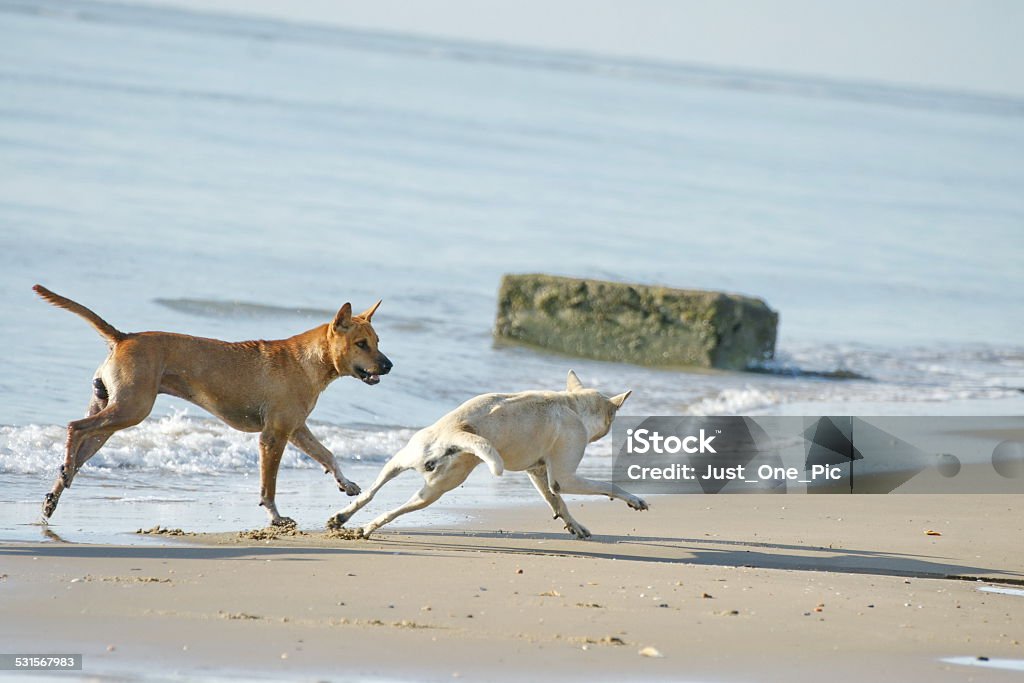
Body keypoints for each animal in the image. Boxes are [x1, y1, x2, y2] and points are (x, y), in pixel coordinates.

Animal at [32, 286, 391, 528]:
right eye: (361, 344)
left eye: (377, 342)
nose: (388, 365)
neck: (309, 360)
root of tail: (123, 337)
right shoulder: (273, 436)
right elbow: (269, 485)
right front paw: (276, 517)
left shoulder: (295, 428)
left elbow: (327, 454)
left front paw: (346, 483)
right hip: (130, 409)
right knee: (74, 427)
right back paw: (64, 472)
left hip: (112, 413)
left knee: (81, 444)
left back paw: (55, 492)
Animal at [327, 370, 647, 536]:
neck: (573, 405)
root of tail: (453, 432)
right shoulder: (563, 477)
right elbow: (607, 486)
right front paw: (634, 499)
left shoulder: (538, 473)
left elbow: (558, 503)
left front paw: (574, 525)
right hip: (438, 488)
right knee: (393, 511)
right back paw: (367, 528)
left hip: (401, 462)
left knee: (370, 493)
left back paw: (343, 518)